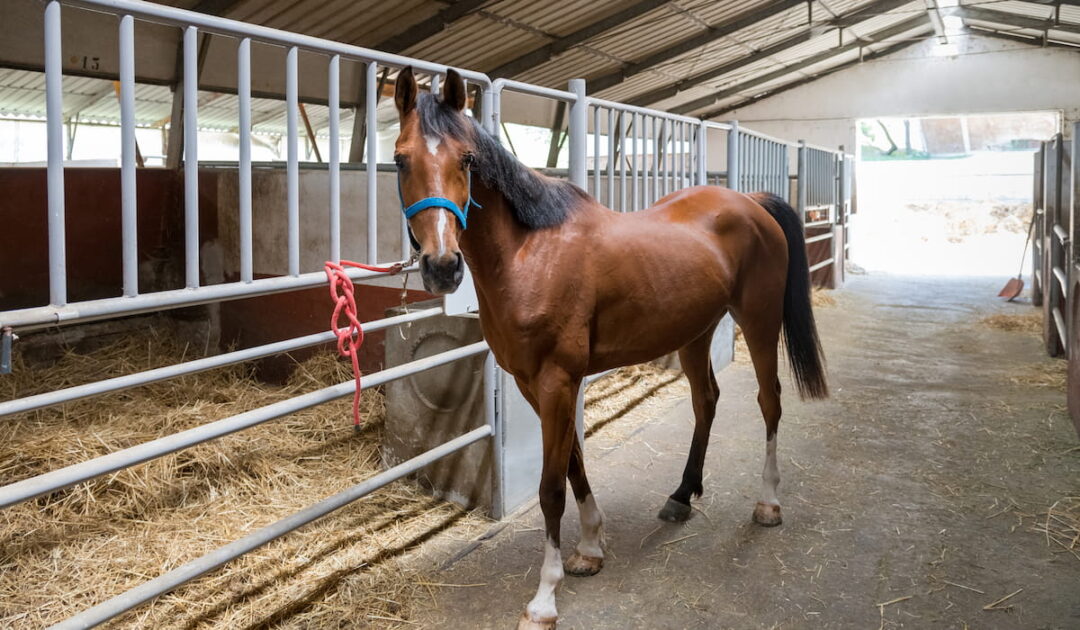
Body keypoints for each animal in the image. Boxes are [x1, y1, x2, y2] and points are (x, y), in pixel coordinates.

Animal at [395, 66, 825, 626]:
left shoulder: (557, 380)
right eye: (400, 159)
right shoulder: (536, 384)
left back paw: (768, 503)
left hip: (758, 321)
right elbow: (574, 460)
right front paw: (590, 548)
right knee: (706, 400)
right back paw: (681, 496)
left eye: (466, 159)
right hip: (694, 332)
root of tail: (750, 202)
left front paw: (545, 596)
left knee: (769, 399)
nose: (442, 266)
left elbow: (551, 487)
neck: (529, 253)